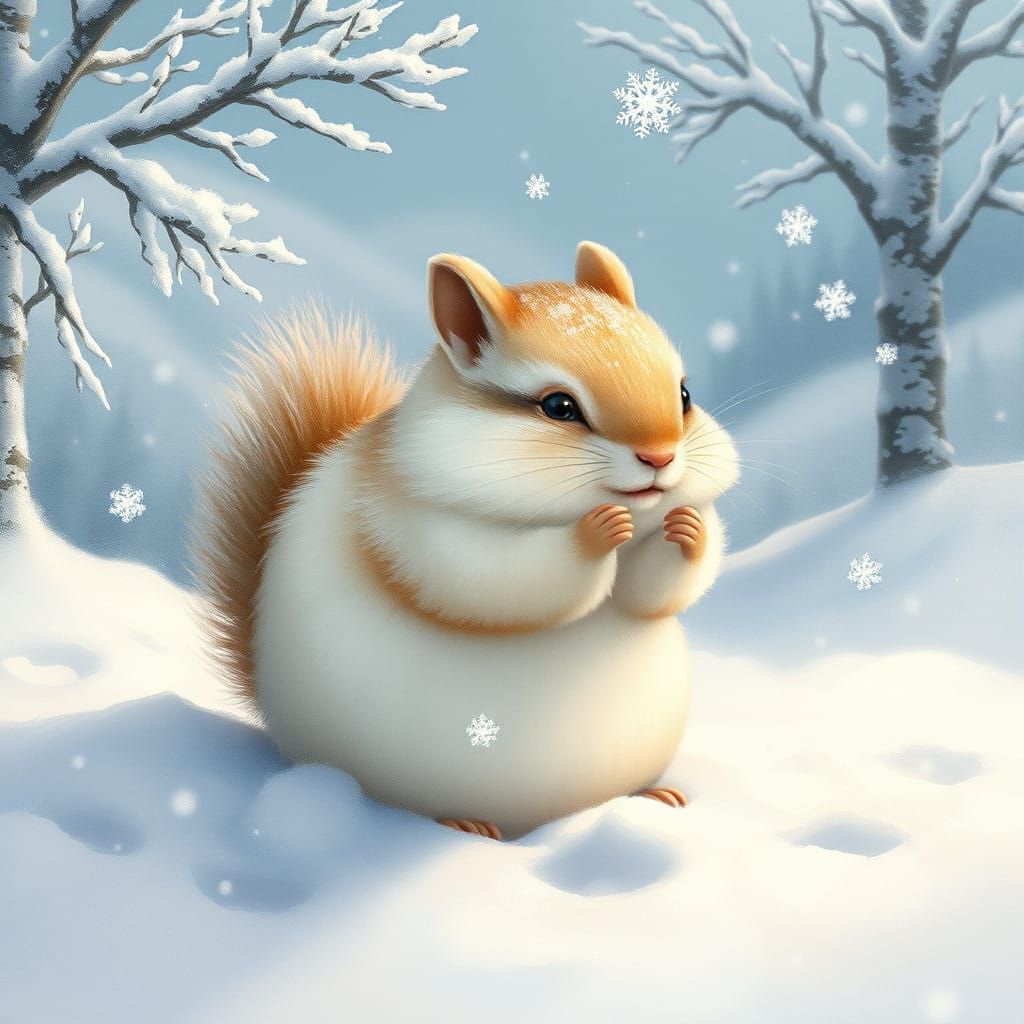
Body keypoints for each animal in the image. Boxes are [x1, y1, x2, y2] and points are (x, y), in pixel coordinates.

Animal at [194, 241, 739, 840]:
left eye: (684, 396)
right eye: (559, 407)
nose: (660, 456)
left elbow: (654, 594)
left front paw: (689, 530)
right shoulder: (416, 530)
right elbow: (494, 582)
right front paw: (594, 534)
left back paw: (653, 795)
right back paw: (464, 823)